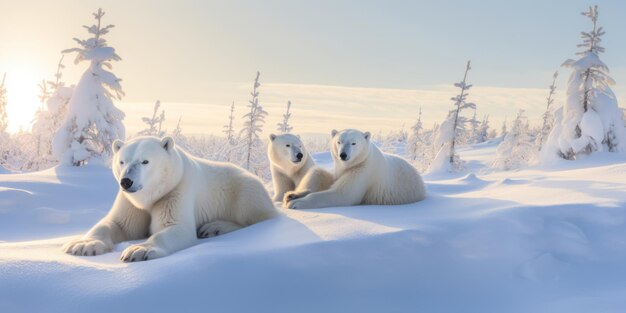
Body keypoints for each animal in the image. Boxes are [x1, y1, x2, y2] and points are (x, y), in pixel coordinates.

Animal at [62, 136, 276, 260]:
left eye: (145, 161)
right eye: (122, 161)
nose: (126, 182)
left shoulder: (175, 191)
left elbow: (176, 227)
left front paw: (138, 250)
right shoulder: (130, 203)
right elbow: (116, 224)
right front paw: (83, 246)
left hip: (243, 188)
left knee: (253, 213)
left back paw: (214, 227)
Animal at [284, 129, 424, 210]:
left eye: (353, 143)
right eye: (339, 142)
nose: (343, 155)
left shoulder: (364, 170)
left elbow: (344, 194)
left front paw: (295, 203)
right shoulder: (338, 171)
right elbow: (322, 176)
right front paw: (292, 196)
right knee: (317, 171)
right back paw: (292, 195)